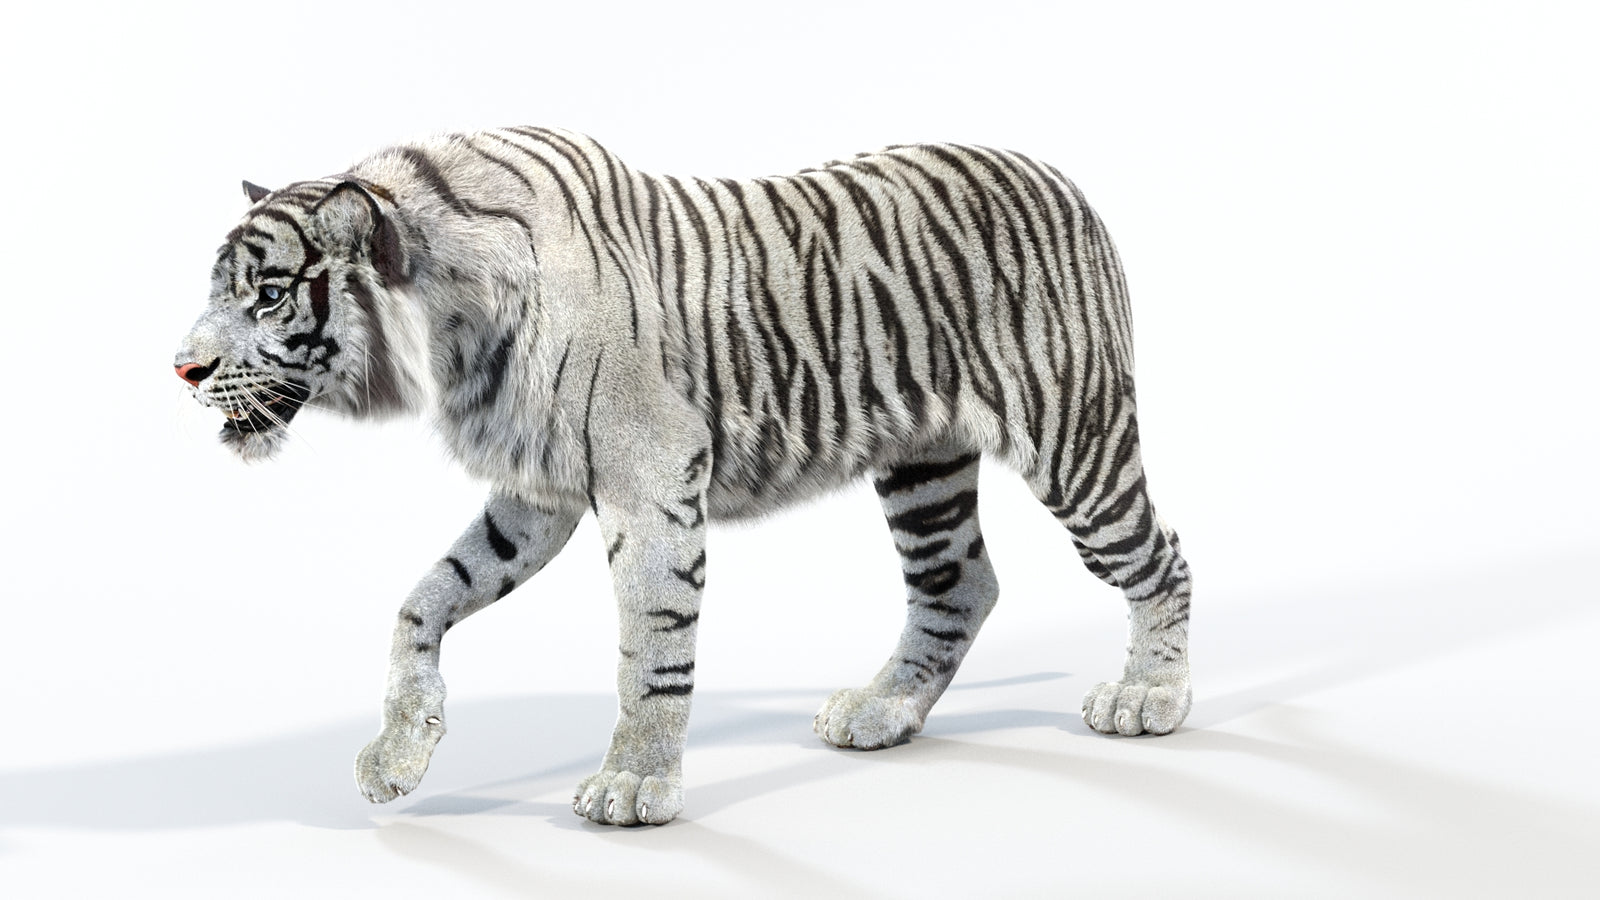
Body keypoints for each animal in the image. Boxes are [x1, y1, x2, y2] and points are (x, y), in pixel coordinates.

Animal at [174, 127, 1193, 826]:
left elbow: (651, 646)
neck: (451, 326)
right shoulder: (536, 494)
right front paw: (399, 754)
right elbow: (425, 599)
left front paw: (636, 783)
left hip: (1074, 440)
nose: (180, 369)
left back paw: (1150, 697)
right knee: (960, 583)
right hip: (924, 470)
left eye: (268, 297)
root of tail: (1055, 174)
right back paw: (884, 710)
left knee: (1162, 557)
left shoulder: (651, 478)